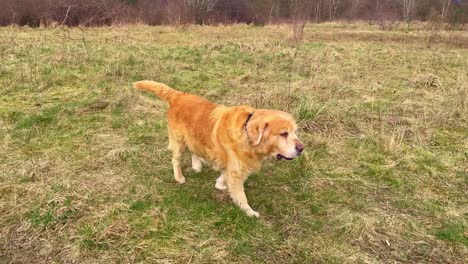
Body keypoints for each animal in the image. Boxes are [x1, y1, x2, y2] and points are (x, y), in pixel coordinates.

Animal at [133, 80, 306, 217]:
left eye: (295, 131)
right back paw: (179, 176)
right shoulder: (237, 170)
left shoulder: (233, 162)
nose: (301, 148)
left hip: (194, 136)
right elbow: (241, 195)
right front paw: (250, 212)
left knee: (194, 150)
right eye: (283, 134)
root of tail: (178, 95)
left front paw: (220, 183)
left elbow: (224, 174)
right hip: (178, 141)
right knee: (175, 160)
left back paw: (197, 165)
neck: (246, 132)